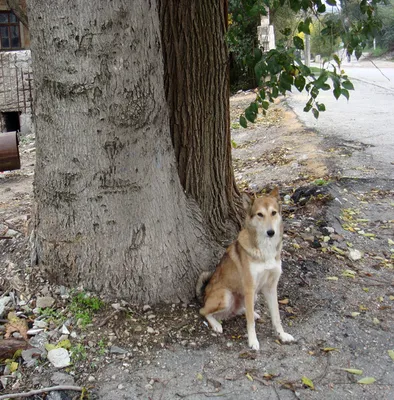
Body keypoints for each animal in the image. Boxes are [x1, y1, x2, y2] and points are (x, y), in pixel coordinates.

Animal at [195, 188, 294, 350]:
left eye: (273, 213)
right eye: (260, 214)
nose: (270, 232)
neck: (265, 250)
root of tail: (204, 295)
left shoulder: (271, 287)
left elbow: (276, 316)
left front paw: (282, 335)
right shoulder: (249, 287)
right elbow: (250, 323)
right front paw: (253, 341)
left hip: (251, 296)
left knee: (242, 310)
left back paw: (252, 312)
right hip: (226, 296)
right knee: (204, 311)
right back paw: (216, 324)